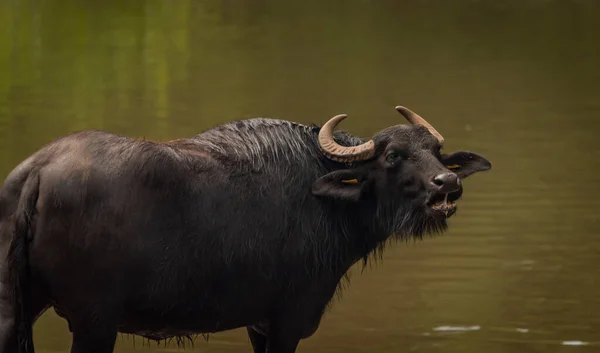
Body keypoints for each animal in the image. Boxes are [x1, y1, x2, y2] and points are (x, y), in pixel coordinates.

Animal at [0, 106, 492, 350]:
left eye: (437, 152)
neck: (323, 200)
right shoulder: (288, 319)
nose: (447, 184)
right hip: (93, 324)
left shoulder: (259, 323)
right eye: (393, 156)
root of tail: (37, 173)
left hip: (15, 313)